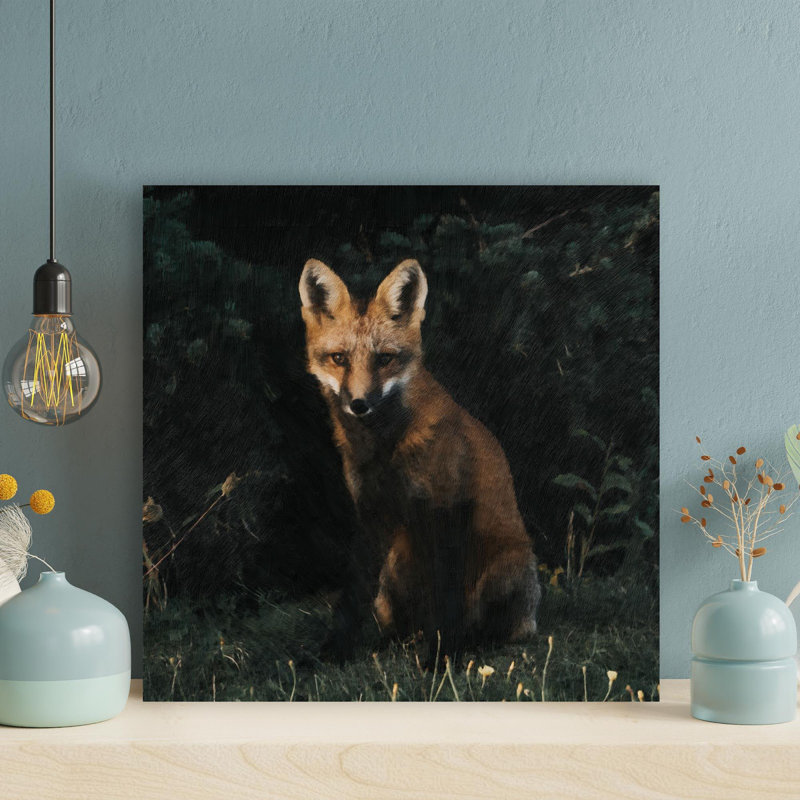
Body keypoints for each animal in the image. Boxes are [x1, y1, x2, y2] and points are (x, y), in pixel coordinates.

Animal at [299, 257, 540, 655]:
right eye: (339, 359)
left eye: (384, 359)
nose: (359, 404)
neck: (384, 448)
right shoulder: (370, 512)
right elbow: (352, 595)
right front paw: (334, 651)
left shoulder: (446, 507)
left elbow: (448, 597)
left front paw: (441, 659)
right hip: (391, 576)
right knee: (403, 624)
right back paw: (399, 641)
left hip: (503, 570)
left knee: (495, 628)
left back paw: (470, 644)